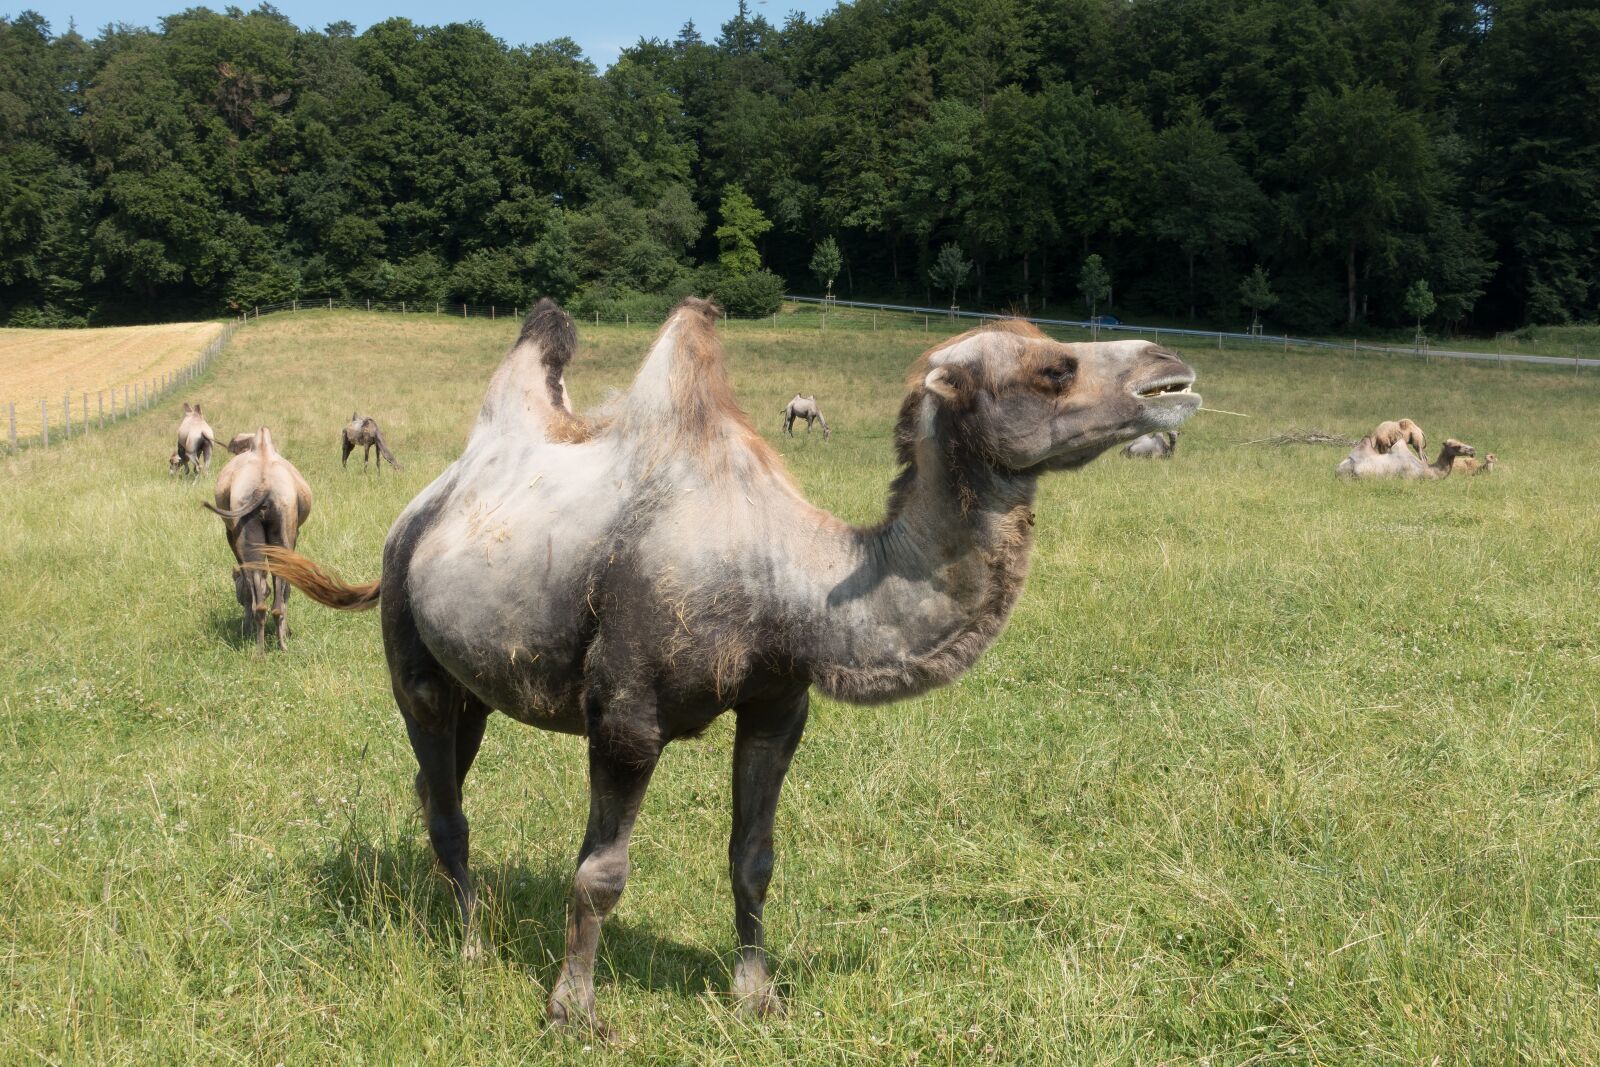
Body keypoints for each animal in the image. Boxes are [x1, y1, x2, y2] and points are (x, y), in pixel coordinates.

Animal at [204, 427, 313, 651]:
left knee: (259, 588)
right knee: (275, 592)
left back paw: (261, 648)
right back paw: (279, 644)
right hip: (280, 528)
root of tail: (264, 486)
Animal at [256, 298, 1200, 1031]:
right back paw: (473, 944)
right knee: (447, 802)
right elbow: (600, 875)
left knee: (437, 781)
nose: (1173, 374)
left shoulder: (778, 705)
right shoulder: (626, 714)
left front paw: (755, 995)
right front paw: (572, 1010)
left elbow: (754, 855)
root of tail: (421, 508)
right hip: (411, 658)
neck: (788, 582)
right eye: (1052, 368)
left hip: (475, 687)